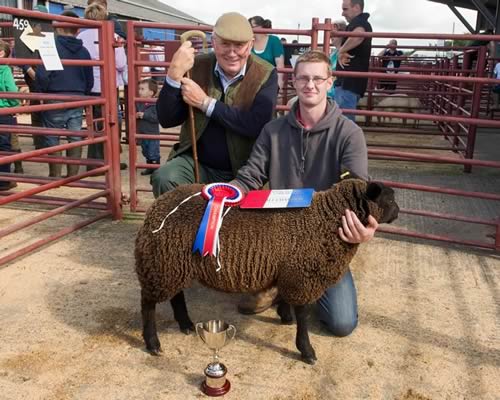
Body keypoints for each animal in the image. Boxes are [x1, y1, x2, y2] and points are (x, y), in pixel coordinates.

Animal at [136, 180, 398, 364]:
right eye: (388, 199)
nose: (398, 212)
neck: (326, 219)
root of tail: (155, 207)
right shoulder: (302, 276)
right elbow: (303, 315)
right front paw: (306, 350)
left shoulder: (291, 272)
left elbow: (287, 300)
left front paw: (284, 316)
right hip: (160, 264)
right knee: (148, 303)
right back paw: (153, 343)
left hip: (172, 264)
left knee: (176, 295)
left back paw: (186, 324)